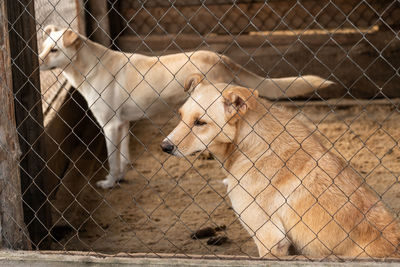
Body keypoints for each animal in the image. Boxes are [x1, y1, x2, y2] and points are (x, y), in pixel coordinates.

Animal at [38, 24, 334, 188]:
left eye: (54, 50)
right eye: (43, 46)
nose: (37, 61)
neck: (90, 67)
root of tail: (221, 57)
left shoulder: (109, 125)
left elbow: (112, 161)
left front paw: (110, 182)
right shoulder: (122, 124)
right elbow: (122, 157)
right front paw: (121, 177)